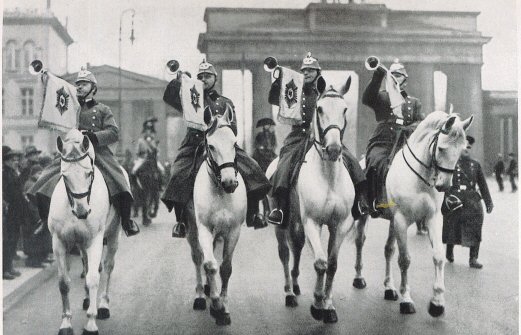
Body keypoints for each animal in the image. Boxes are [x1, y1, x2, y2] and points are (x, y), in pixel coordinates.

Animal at [49, 130, 121, 335]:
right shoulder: (59, 243)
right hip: (82, 244)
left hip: (113, 235)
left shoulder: (95, 240)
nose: (82, 212)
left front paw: (90, 323)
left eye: (89, 173)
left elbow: (94, 278)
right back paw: (88, 299)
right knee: (87, 266)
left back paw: (102, 305)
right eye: (64, 175)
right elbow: (63, 283)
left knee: (108, 267)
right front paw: (66, 323)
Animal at [184, 105, 247, 326]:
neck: (220, 192)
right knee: (198, 258)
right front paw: (216, 304)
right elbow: (210, 265)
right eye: (210, 146)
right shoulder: (204, 228)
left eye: (234, 143)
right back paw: (201, 296)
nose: (230, 183)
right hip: (192, 229)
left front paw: (224, 308)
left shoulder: (233, 231)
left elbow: (225, 268)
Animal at [268, 79, 358, 326]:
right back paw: (290, 292)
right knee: (284, 252)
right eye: (320, 109)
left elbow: (332, 264)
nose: (334, 149)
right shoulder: (312, 222)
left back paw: (297, 284)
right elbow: (320, 263)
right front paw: (317, 304)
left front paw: (328, 306)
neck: (328, 176)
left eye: (345, 109)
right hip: (282, 222)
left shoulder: (340, 225)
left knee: (297, 247)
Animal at [354, 112, 472, 318]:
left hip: (392, 222)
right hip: (367, 216)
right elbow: (405, 260)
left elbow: (438, 256)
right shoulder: (401, 220)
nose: (444, 186)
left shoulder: (432, 219)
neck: (420, 178)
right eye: (441, 148)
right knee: (360, 241)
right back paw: (359, 278)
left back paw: (389, 288)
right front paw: (407, 300)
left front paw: (437, 302)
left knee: (388, 250)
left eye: (461, 151)